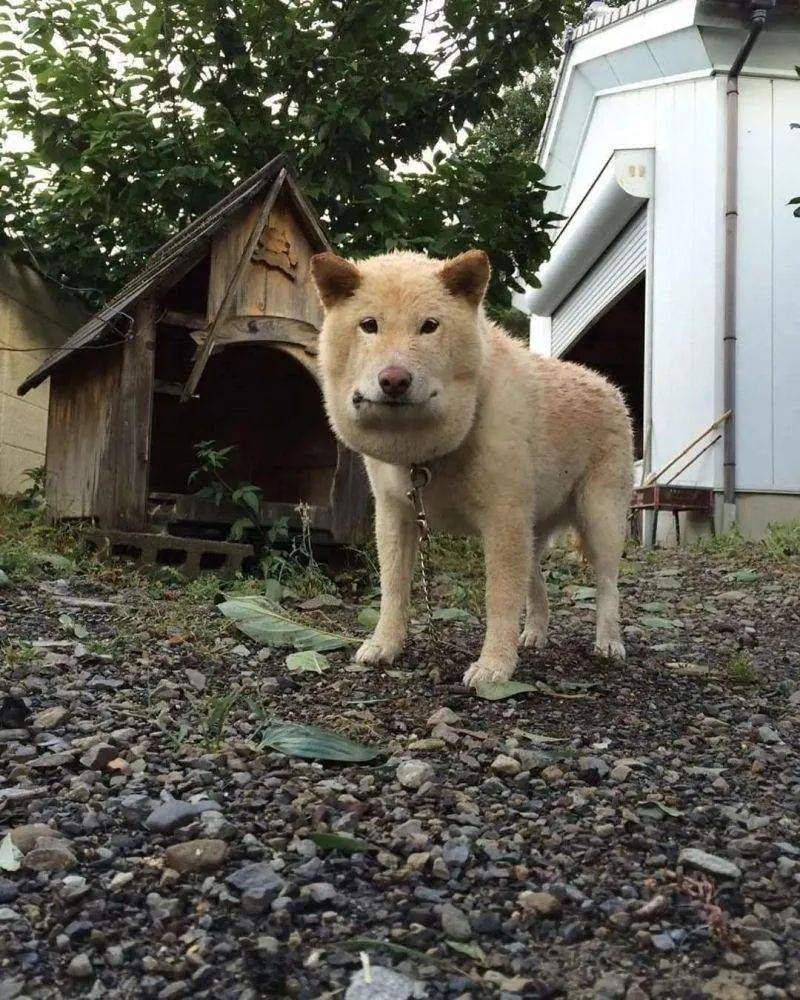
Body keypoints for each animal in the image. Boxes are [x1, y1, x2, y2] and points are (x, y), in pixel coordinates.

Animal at [310, 250, 632, 688]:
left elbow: (500, 598)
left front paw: (494, 665)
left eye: (429, 325)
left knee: (607, 586)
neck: (426, 454)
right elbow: (394, 589)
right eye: (369, 325)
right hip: (533, 530)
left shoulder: (503, 520)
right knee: (536, 584)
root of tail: (610, 387)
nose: (394, 380)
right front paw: (385, 645)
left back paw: (608, 642)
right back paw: (534, 633)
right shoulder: (395, 515)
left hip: (600, 520)